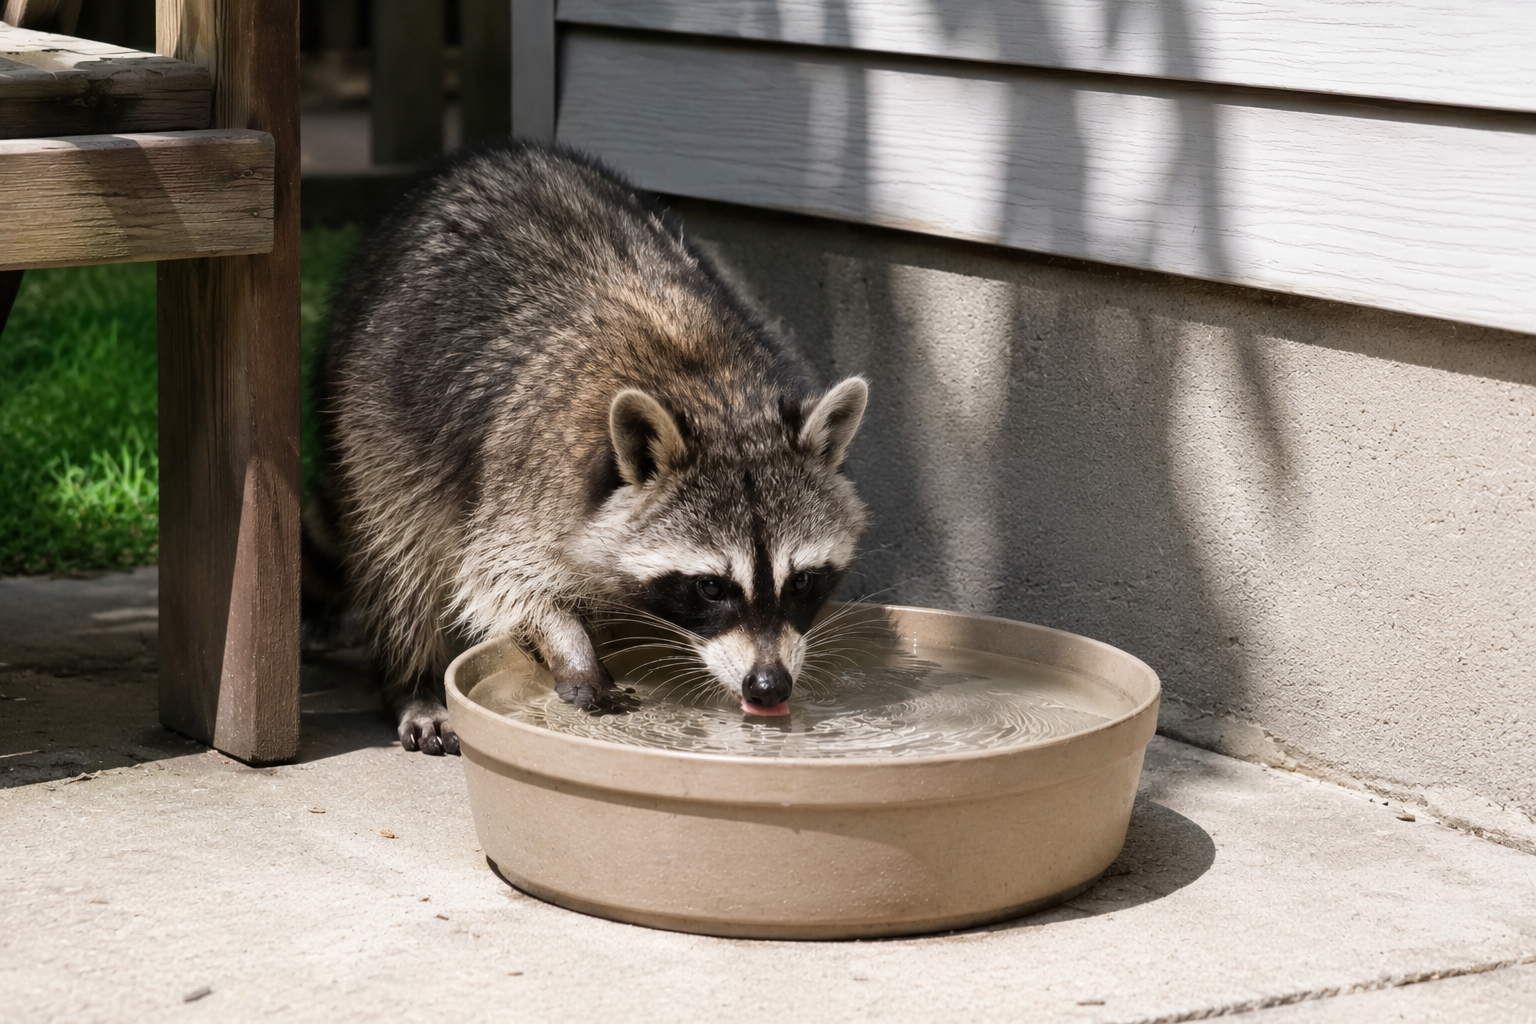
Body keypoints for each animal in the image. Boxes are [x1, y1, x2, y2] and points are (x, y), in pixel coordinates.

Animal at [316, 141, 870, 755]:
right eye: (710, 587)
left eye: (802, 581)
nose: (768, 685)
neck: (709, 386)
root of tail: (487, 156)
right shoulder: (528, 469)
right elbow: (499, 578)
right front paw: (569, 641)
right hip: (377, 413)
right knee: (400, 554)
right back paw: (412, 680)